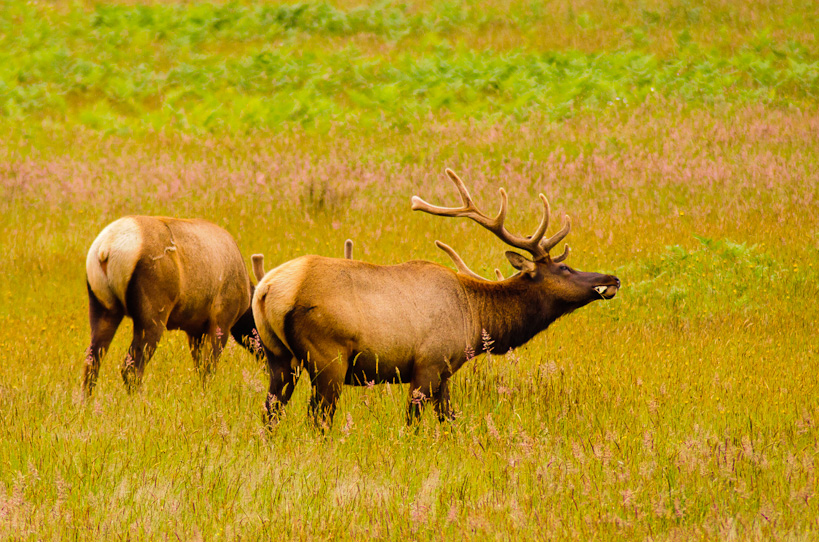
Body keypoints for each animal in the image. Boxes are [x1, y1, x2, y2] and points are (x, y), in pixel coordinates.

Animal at [83, 215, 262, 398]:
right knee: (131, 368)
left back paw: (86, 402)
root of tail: (106, 249)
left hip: (102, 308)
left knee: (91, 363)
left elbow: (200, 368)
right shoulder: (222, 320)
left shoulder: (195, 329)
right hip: (153, 313)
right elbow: (208, 369)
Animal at [253, 170, 620, 430]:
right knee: (318, 418)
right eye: (565, 268)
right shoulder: (427, 365)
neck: (475, 317)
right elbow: (414, 423)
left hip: (278, 357)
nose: (611, 279)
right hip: (327, 359)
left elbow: (450, 420)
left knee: (270, 411)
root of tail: (269, 289)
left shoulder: (444, 372)